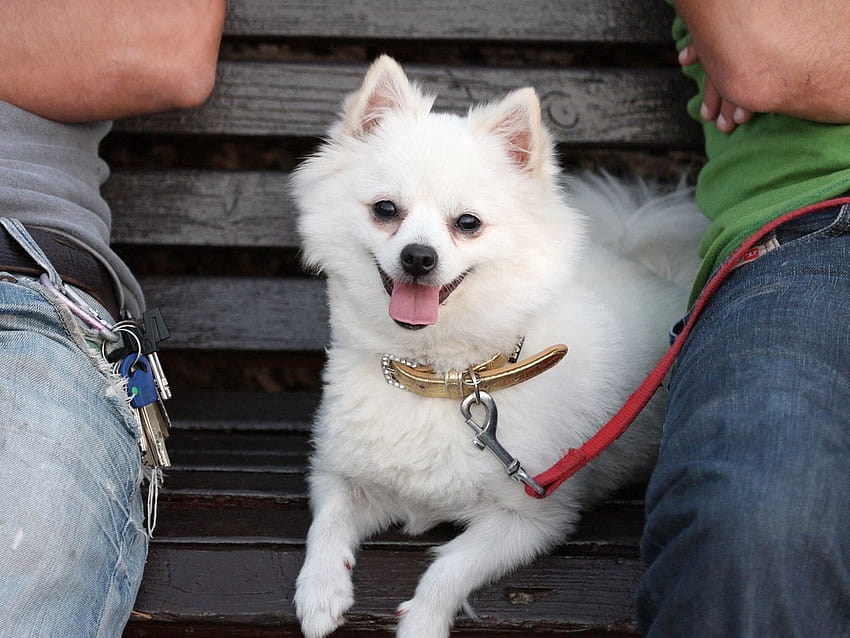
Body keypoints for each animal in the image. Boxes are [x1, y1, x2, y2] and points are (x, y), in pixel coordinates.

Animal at [292, 56, 704, 638]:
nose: (418, 256)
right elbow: (325, 525)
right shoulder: (341, 476)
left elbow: (449, 567)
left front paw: (421, 623)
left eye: (468, 223)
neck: (441, 378)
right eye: (385, 210)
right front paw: (320, 591)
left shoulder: (532, 515)